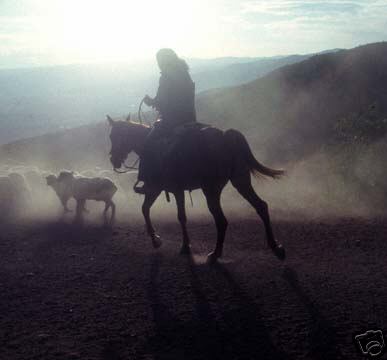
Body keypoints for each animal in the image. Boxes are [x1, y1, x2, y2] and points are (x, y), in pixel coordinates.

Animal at [107, 116, 286, 262]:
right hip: (240, 181)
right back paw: (275, 246)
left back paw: (215, 254)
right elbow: (150, 210)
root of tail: (225, 137)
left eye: (114, 136)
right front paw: (163, 241)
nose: (113, 160)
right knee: (261, 206)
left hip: (211, 190)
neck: (147, 144)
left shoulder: (162, 188)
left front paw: (168, 242)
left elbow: (173, 215)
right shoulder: (166, 190)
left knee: (222, 220)